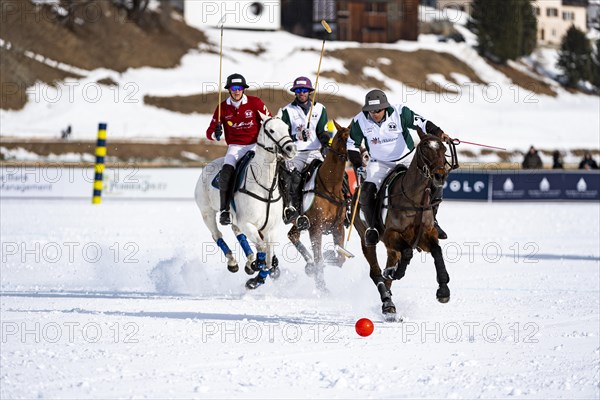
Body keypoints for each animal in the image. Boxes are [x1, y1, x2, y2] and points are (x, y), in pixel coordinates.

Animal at [195, 111, 298, 290]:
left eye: (287, 128)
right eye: (271, 130)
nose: (290, 149)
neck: (266, 187)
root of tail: (208, 165)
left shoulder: (271, 229)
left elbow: (269, 257)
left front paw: (257, 276)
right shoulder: (248, 223)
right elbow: (262, 249)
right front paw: (257, 270)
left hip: (235, 219)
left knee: (237, 232)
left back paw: (250, 262)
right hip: (207, 212)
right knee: (217, 235)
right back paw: (233, 262)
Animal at [288, 120, 350, 290]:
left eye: (351, 137)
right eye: (341, 138)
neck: (330, 187)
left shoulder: (338, 226)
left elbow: (340, 259)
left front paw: (330, 256)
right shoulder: (315, 228)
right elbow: (319, 259)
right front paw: (322, 287)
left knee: (293, 235)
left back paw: (309, 266)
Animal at [354, 133, 458, 320]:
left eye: (444, 148)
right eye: (424, 148)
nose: (440, 176)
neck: (414, 199)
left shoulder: (426, 234)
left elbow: (437, 251)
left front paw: (443, 291)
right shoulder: (390, 235)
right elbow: (407, 252)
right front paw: (395, 272)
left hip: (392, 248)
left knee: (388, 272)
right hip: (366, 237)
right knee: (376, 271)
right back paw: (388, 303)